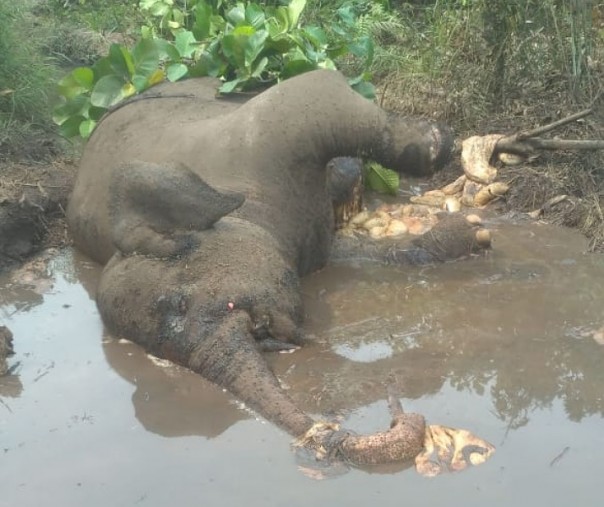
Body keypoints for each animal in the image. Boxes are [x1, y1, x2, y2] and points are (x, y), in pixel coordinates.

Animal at [67, 69, 490, 466]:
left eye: (179, 302)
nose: (401, 413)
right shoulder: (304, 244)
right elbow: (350, 255)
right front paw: (470, 235)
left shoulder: (273, 127)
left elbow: (327, 88)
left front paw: (444, 144)